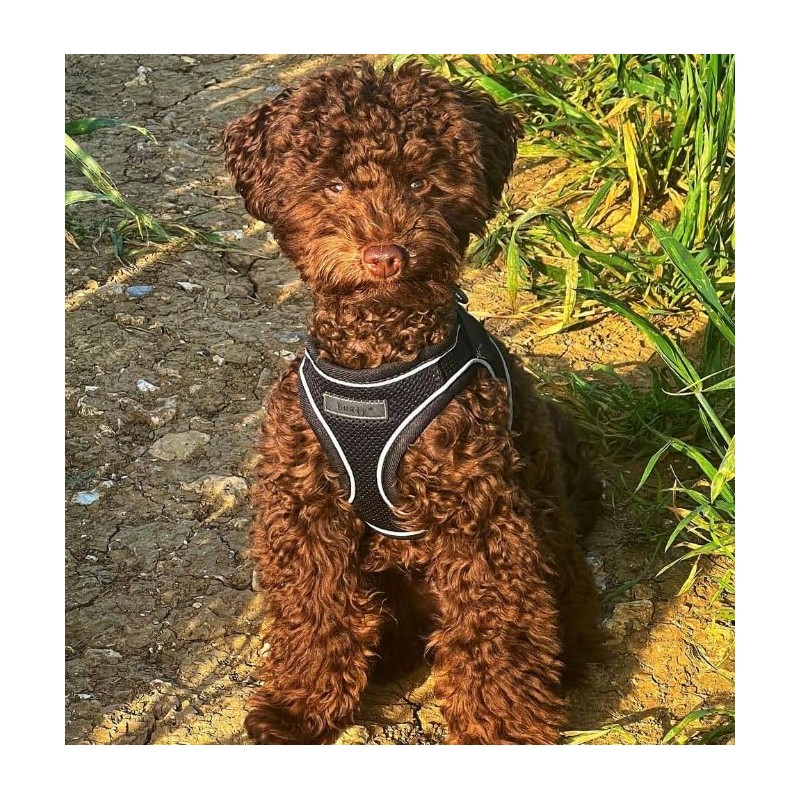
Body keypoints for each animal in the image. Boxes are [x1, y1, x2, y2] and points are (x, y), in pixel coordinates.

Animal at [222, 60, 603, 745]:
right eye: (334, 185)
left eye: (423, 182)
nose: (384, 255)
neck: (380, 360)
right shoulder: (306, 508)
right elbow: (312, 612)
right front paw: (299, 708)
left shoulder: (480, 514)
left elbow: (496, 623)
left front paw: (499, 726)